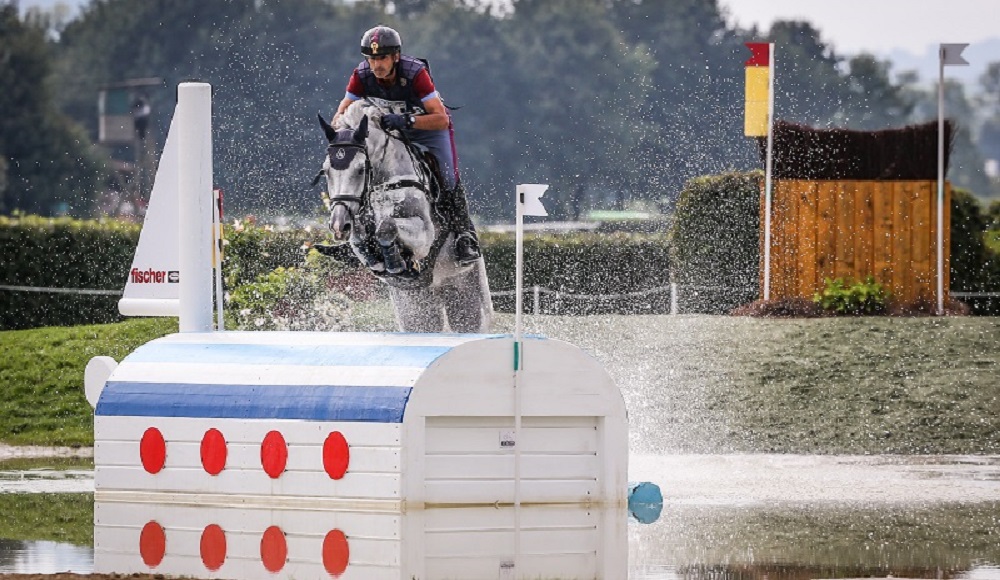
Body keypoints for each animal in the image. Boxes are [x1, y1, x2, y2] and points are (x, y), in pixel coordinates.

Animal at [314, 98, 494, 334]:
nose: (338, 224)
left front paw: (395, 262)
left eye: (361, 169)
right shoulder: (358, 230)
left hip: (466, 297)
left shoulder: (424, 234)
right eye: (326, 171)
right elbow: (360, 239)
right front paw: (381, 263)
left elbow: (387, 226)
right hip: (416, 306)